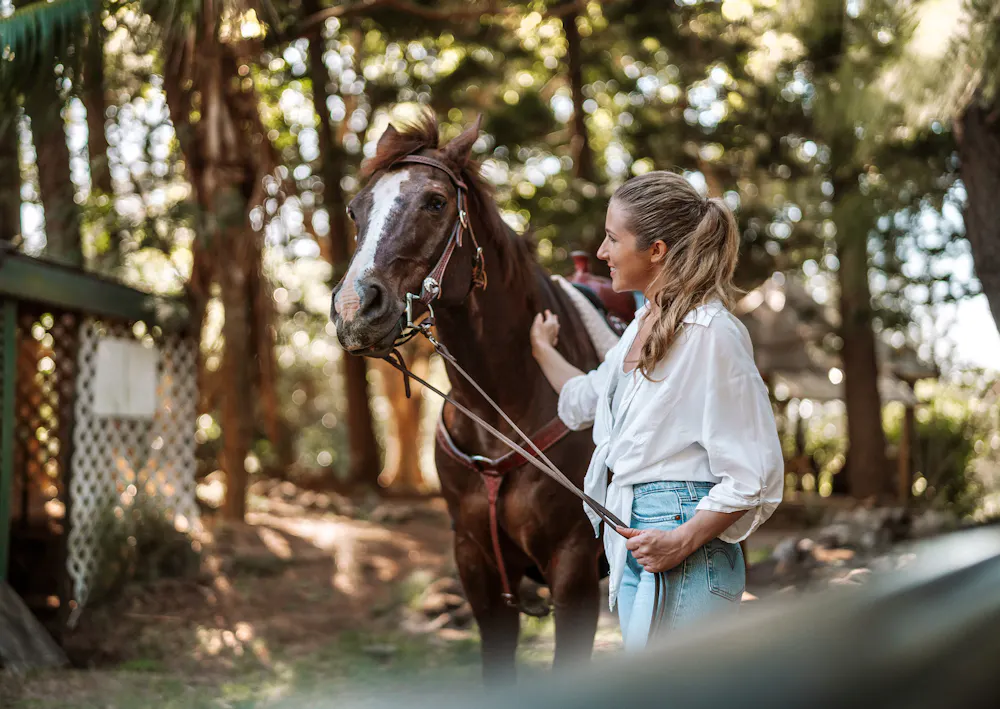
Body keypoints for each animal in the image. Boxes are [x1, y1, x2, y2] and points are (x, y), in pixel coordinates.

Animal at [330, 113, 607, 683]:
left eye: (436, 202)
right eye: (355, 209)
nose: (353, 309)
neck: (499, 415)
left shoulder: (574, 569)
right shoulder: (477, 570)